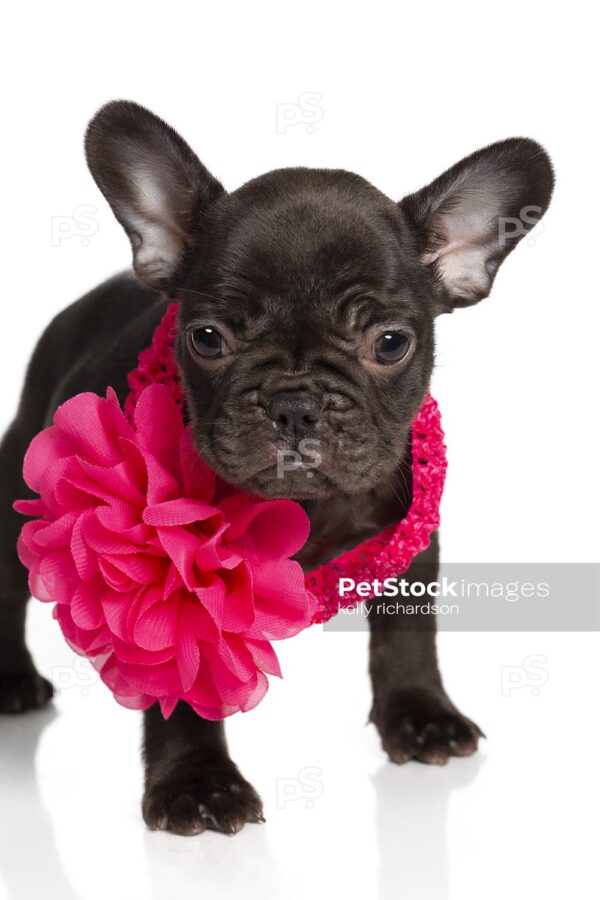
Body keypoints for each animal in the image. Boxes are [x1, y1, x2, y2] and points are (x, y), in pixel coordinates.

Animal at [0, 100, 552, 836]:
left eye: (390, 343)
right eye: (207, 338)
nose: (294, 404)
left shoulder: (414, 538)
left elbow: (408, 632)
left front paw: (419, 714)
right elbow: (181, 683)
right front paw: (197, 783)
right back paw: (11, 678)